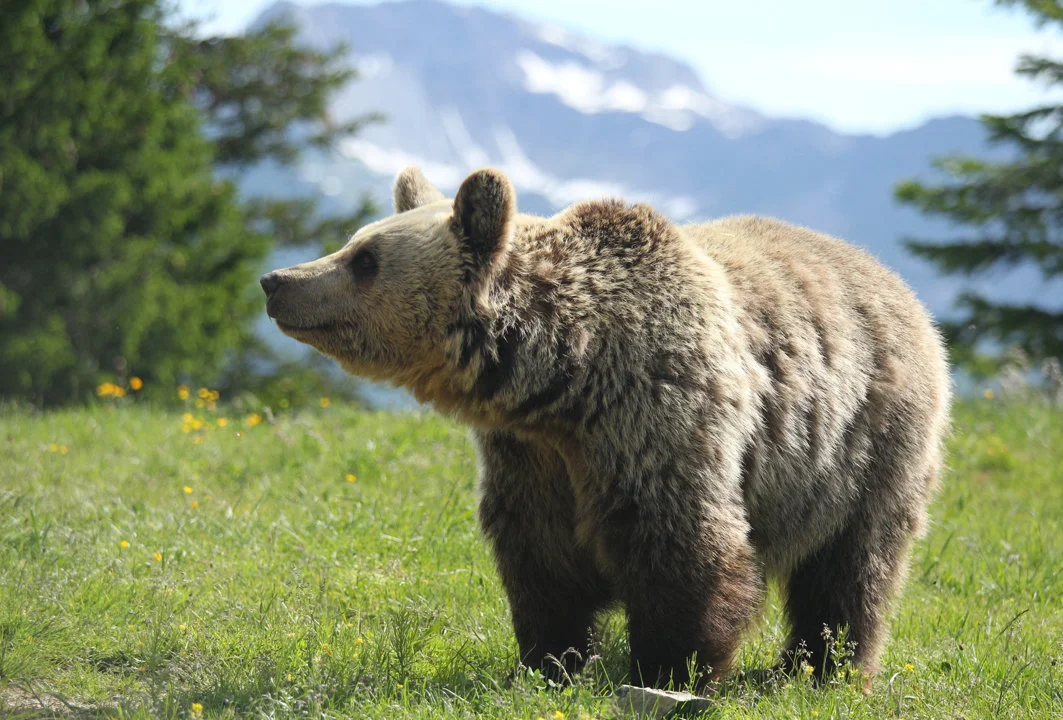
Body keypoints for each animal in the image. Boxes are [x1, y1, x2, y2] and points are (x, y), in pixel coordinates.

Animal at [260, 165, 951, 690]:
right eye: (354, 241)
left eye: (365, 259)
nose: (277, 280)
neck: (564, 377)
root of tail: (899, 287)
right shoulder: (531, 457)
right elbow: (541, 560)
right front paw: (548, 661)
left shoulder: (657, 414)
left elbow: (682, 544)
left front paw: (671, 667)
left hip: (864, 445)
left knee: (850, 568)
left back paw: (820, 669)